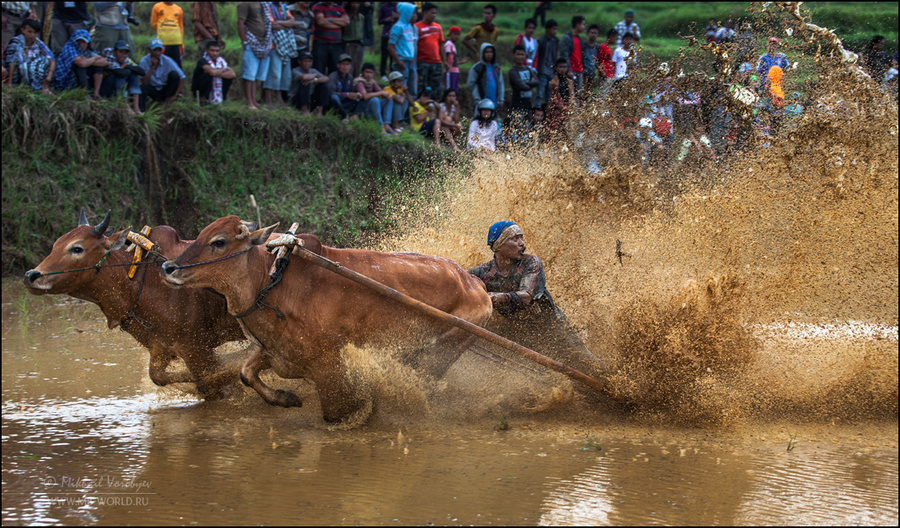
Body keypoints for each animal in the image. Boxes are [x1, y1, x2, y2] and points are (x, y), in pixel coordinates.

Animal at [23, 209, 246, 396]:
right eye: (55, 245)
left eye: (77, 248)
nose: (31, 275)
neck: (141, 282)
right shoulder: (160, 348)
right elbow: (159, 377)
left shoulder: (195, 347)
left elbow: (210, 379)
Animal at [158, 217, 488, 422]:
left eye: (219, 242)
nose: (168, 267)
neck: (273, 280)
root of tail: (475, 284)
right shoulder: (275, 351)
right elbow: (245, 373)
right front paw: (286, 398)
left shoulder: (329, 367)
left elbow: (336, 415)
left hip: (443, 349)